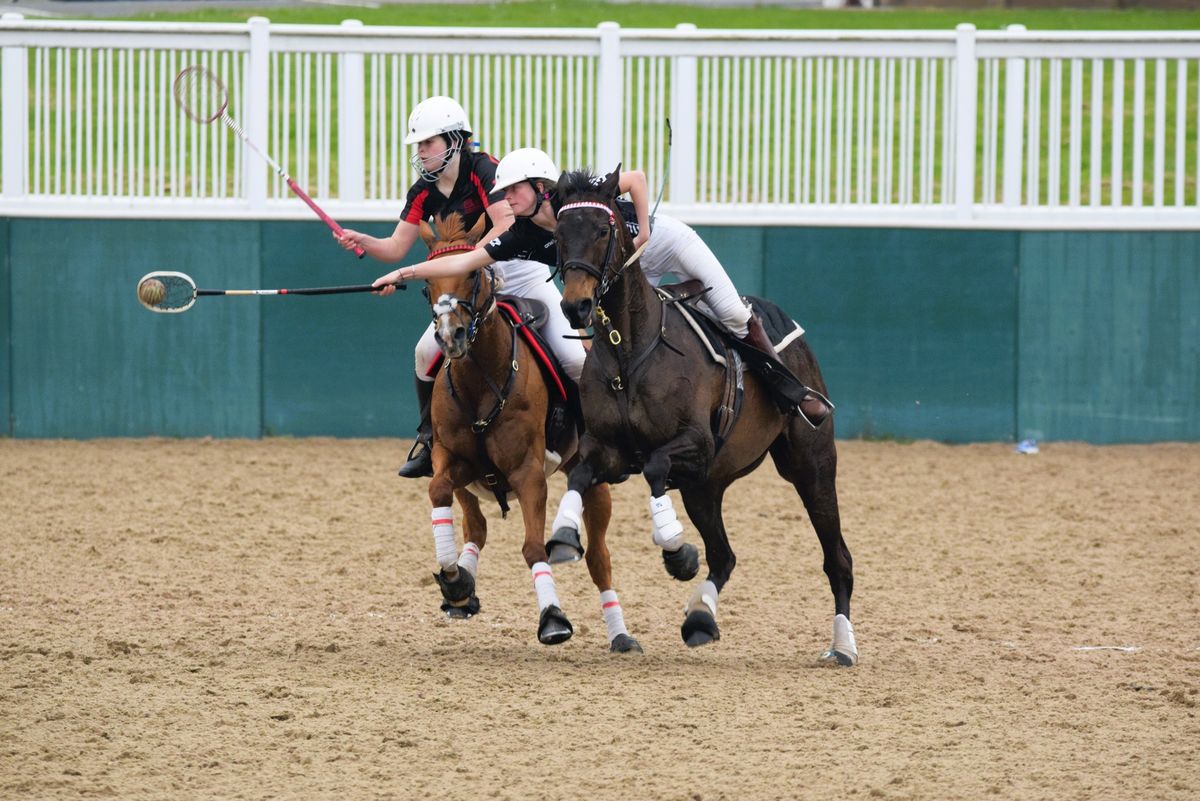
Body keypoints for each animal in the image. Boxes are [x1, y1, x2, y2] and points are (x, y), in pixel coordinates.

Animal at [415, 211, 638, 652]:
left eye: (472, 275)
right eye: (427, 284)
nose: (450, 337)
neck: (481, 380)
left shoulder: (528, 474)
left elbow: (535, 547)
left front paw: (553, 619)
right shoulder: (453, 460)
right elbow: (438, 491)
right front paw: (454, 579)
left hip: (591, 480)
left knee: (599, 560)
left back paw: (621, 636)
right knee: (476, 527)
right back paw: (463, 586)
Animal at [549, 169, 859, 661]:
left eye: (601, 231)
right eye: (559, 235)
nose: (575, 306)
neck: (628, 348)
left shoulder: (695, 442)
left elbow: (656, 466)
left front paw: (675, 548)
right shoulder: (609, 450)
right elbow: (581, 476)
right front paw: (562, 535)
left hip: (810, 466)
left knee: (837, 559)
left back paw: (843, 645)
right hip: (704, 486)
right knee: (724, 556)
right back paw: (700, 616)